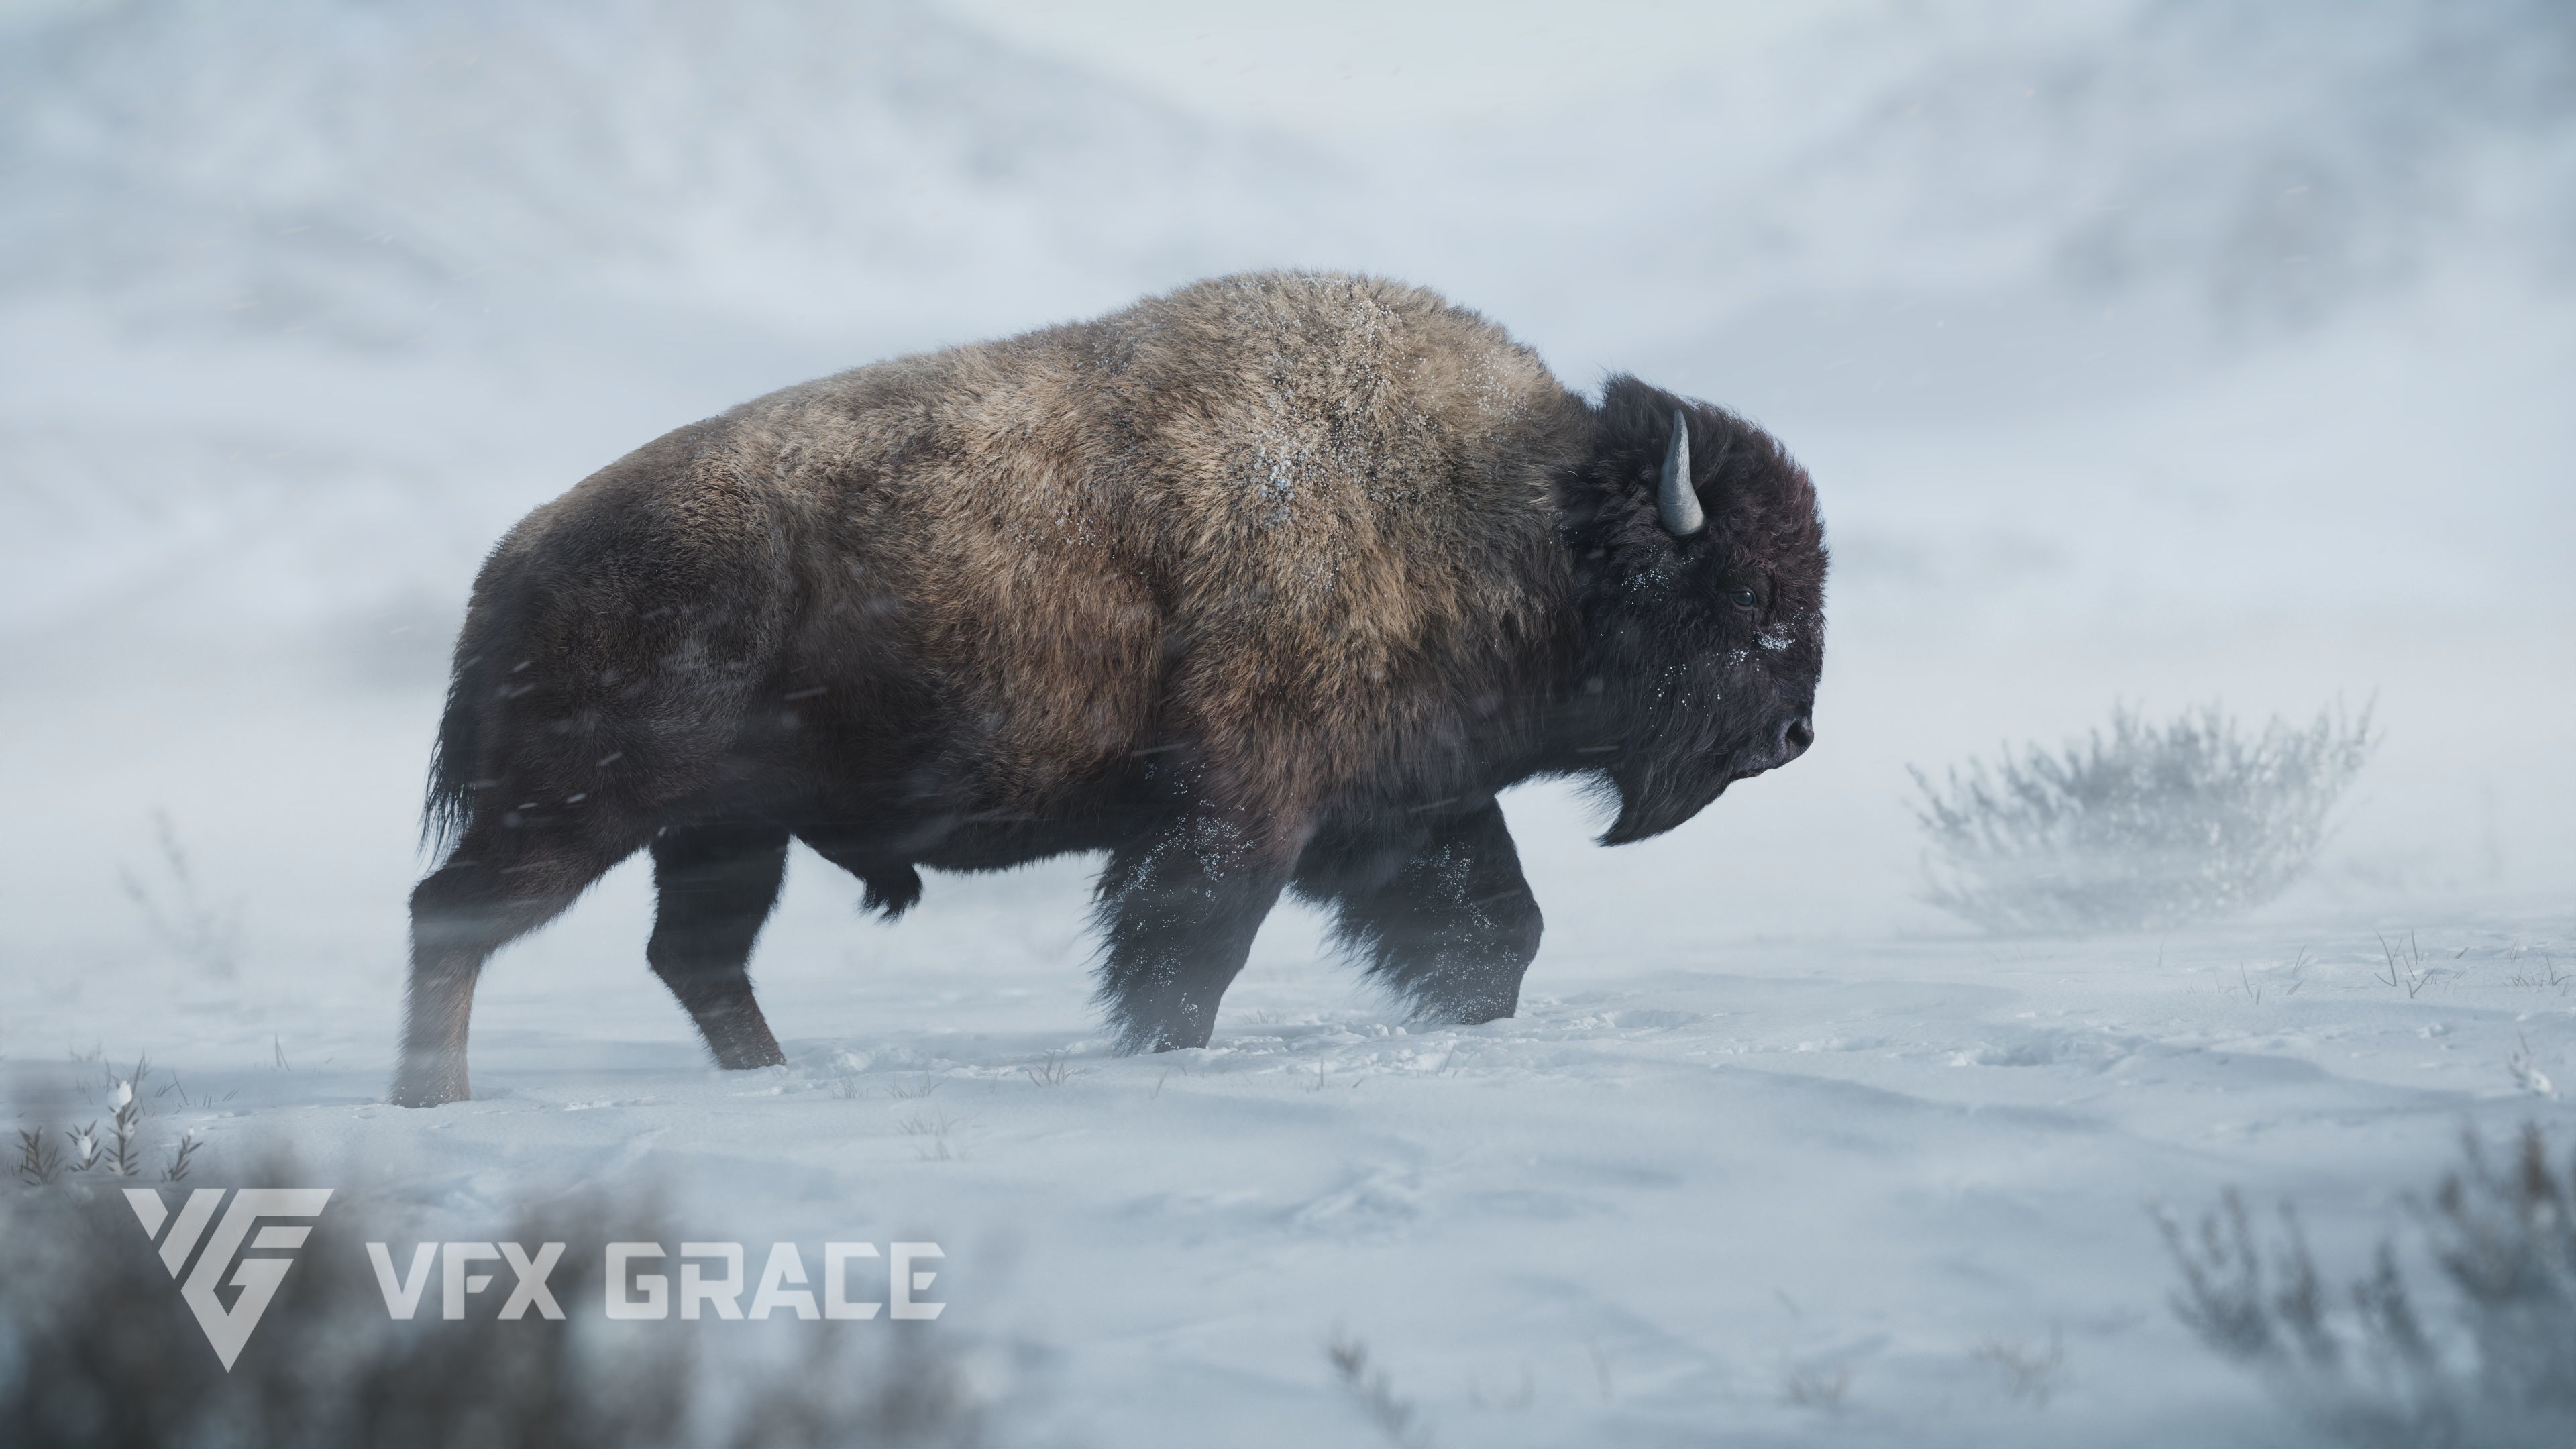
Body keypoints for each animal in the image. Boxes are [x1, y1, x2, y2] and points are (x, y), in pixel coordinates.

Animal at [393, 271, 1825, 1107]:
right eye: (1748, 592)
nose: (1797, 733)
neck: (1517, 514)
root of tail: (518, 560)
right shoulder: (1240, 809)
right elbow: (1187, 954)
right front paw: (1155, 1056)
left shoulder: (1410, 805)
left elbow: (1498, 932)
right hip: (584, 809)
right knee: (454, 917)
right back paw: (435, 1102)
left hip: (722, 832)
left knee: (690, 957)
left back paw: (769, 1082)